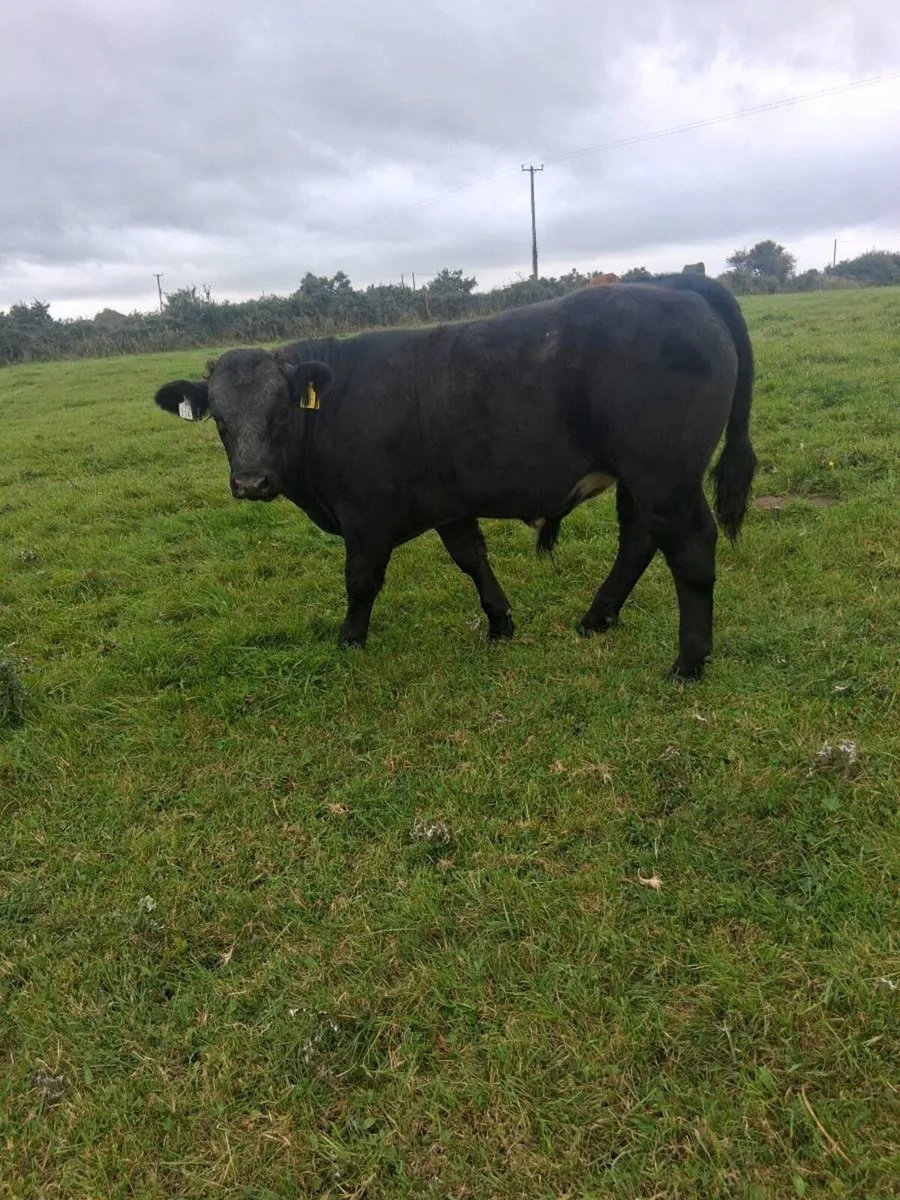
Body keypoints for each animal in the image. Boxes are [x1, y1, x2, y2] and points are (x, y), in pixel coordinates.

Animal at [153, 274, 756, 679]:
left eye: (280, 411)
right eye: (220, 419)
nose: (250, 482)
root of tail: (675, 285)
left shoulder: (365, 515)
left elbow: (361, 580)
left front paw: (350, 640)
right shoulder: (448, 502)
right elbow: (472, 558)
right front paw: (500, 623)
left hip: (665, 475)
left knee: (690, 551)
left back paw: (688, 661)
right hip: (640, 478)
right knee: (638, 540)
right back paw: (596, 618)